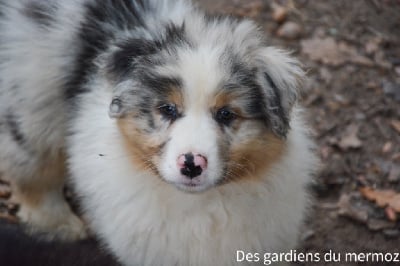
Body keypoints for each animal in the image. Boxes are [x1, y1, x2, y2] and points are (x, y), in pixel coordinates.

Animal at [0, 0, 318, 264]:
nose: (191, 165)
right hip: (30, 104)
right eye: (167, 109)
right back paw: (59, 225)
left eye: (226, 114)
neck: (197, 206)